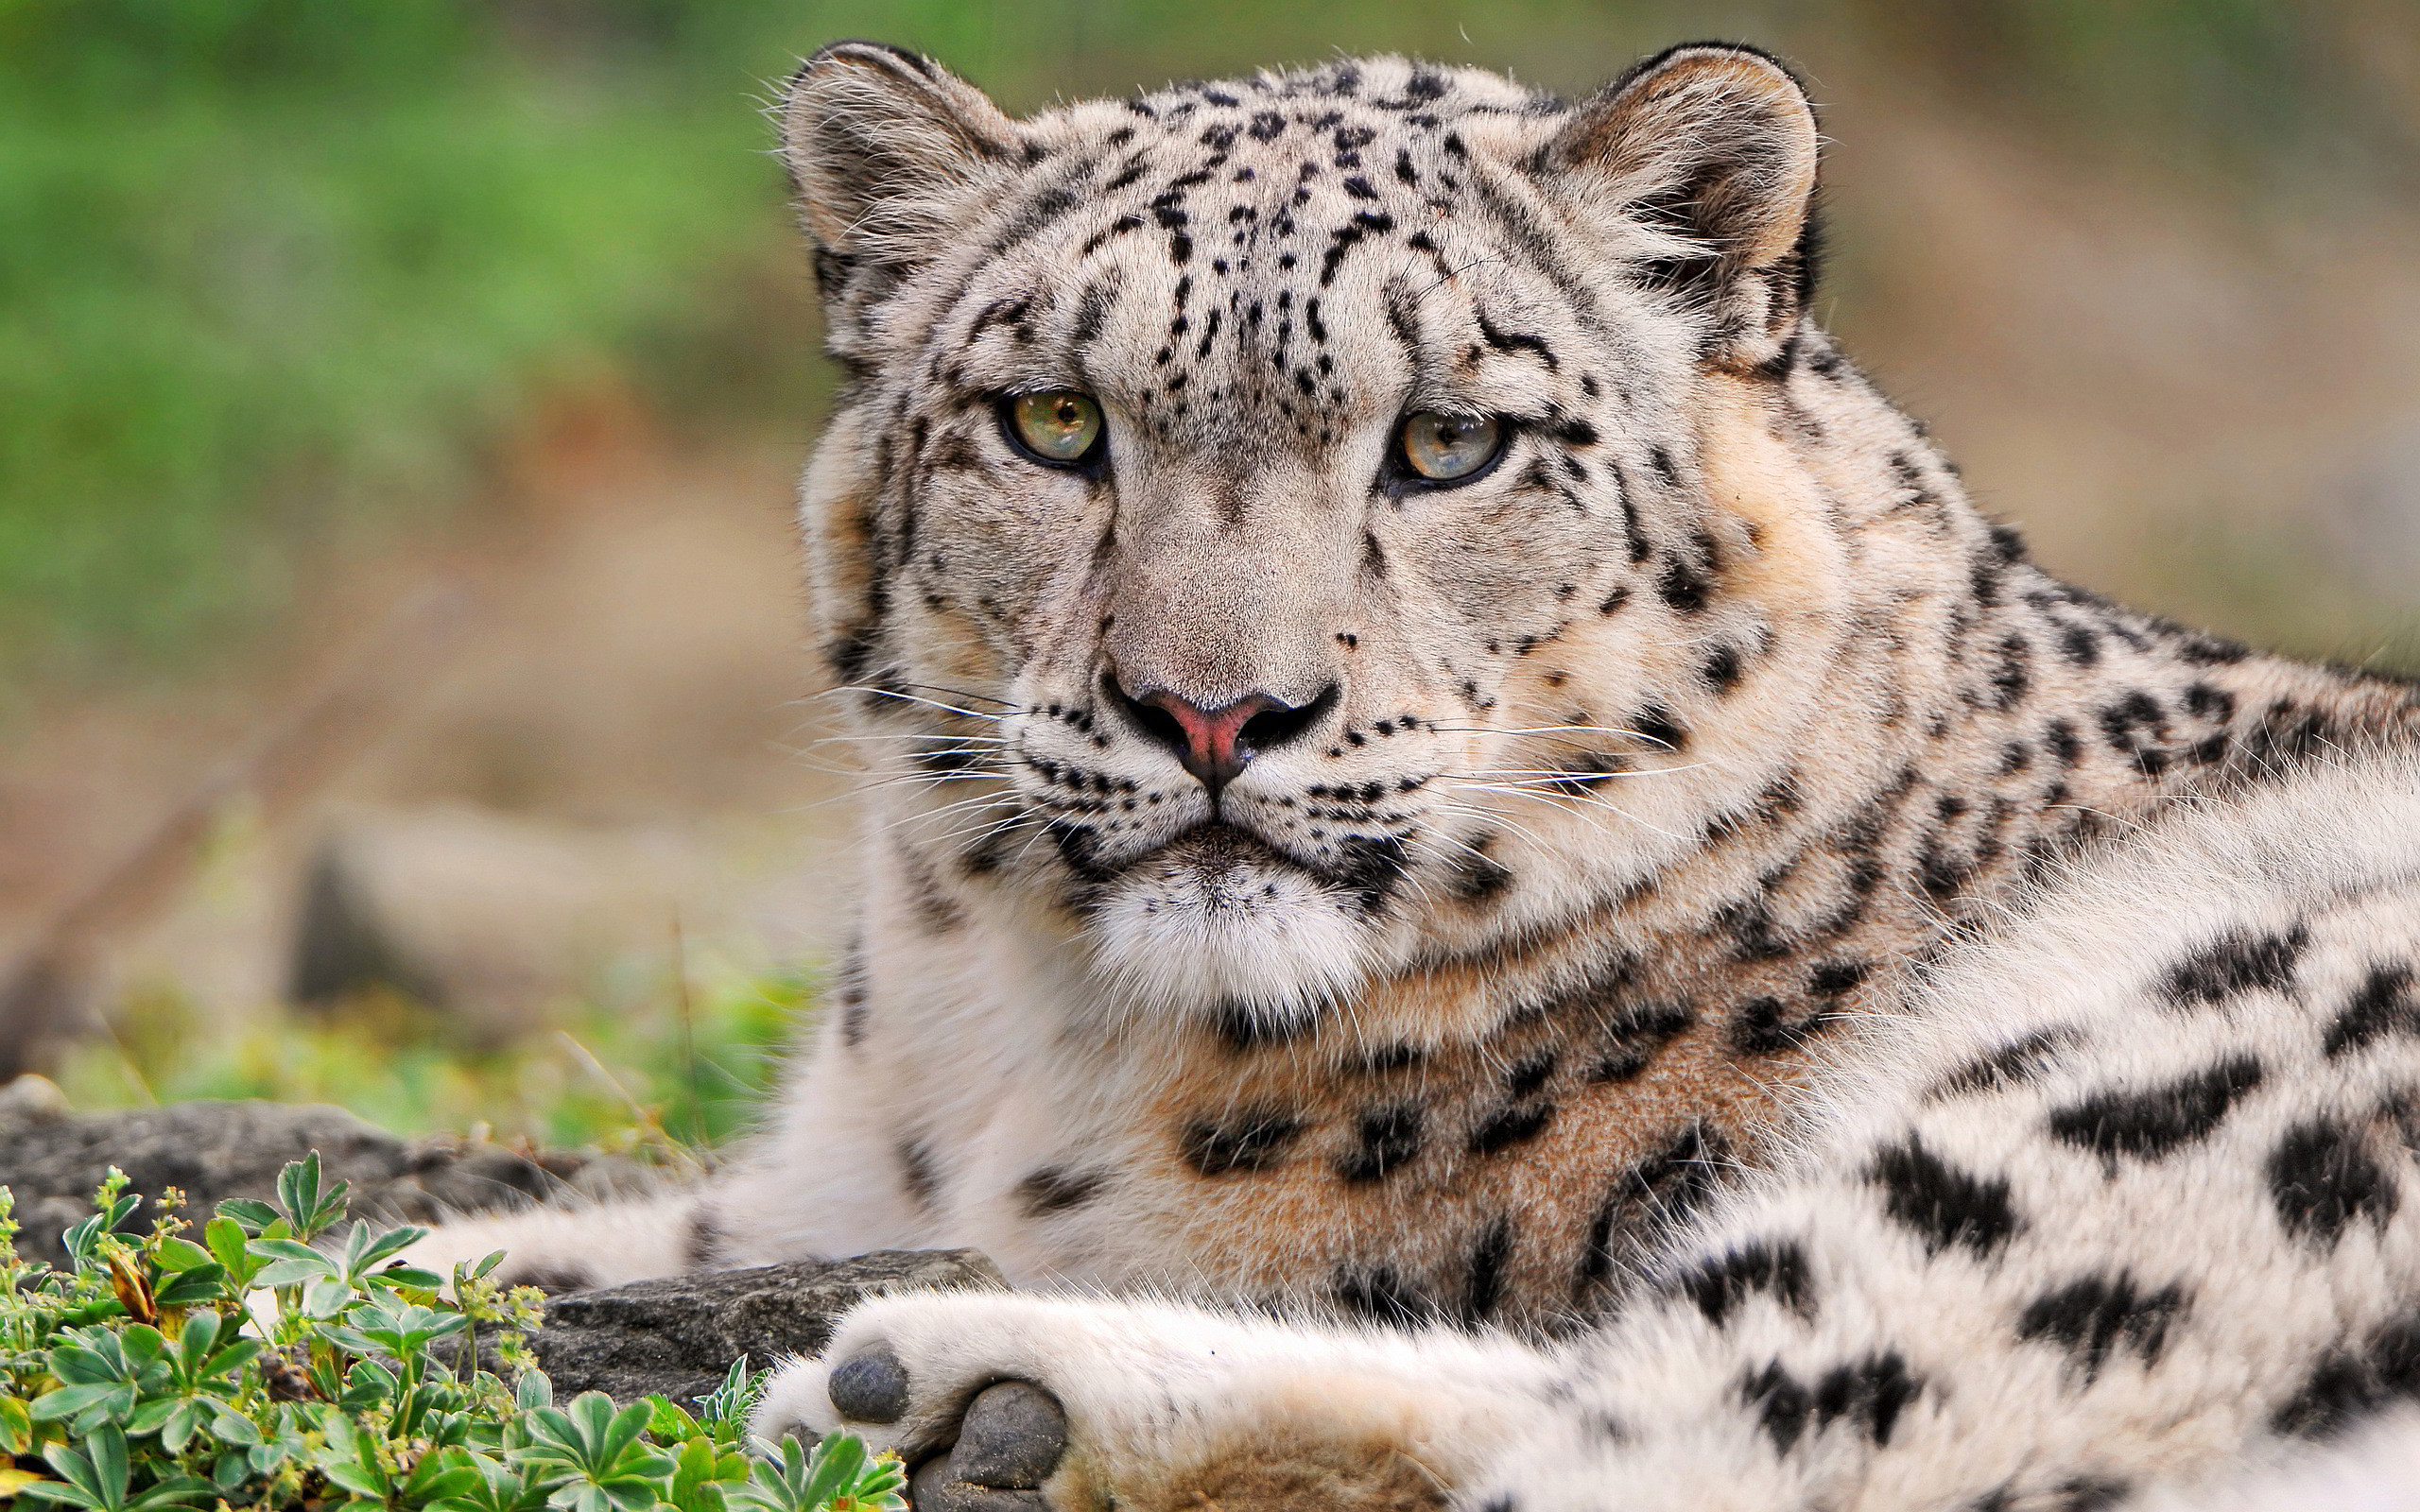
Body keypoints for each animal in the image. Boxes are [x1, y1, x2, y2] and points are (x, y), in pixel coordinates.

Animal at [406, 38, 2420, 1509]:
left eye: (1450, 443)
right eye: (1052, 422)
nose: (1215, 713)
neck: (1002, 1051)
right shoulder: (810, 1186)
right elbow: (570, 1237)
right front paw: (434, 1263)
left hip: (2119, 1125)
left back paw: (955, 1391)